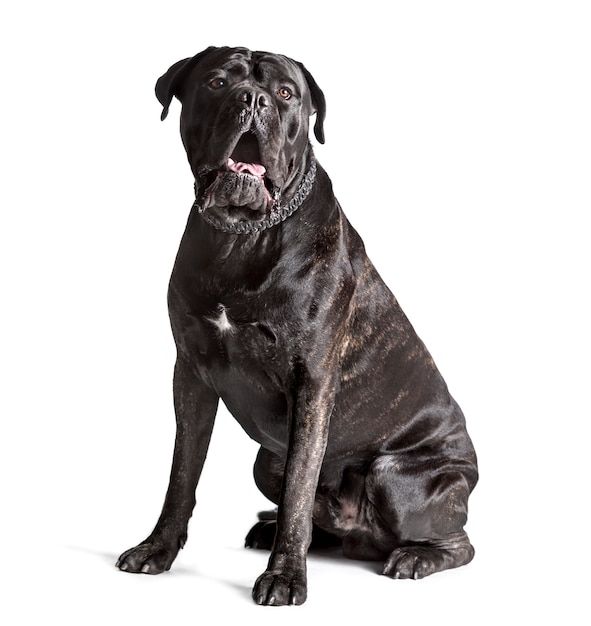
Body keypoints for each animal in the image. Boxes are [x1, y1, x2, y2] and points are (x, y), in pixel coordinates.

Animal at [117, 46, 480, 604]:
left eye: (286, 93)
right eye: (217, 82)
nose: (253, 98)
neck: (241, 235)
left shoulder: (312, 383)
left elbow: (299, 487)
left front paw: (285, 576)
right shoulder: (191, 375)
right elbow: (182, 473)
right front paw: (156, 549)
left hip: (398, 476)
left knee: (458, 543)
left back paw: (414, 557)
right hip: (265, 459)